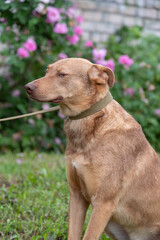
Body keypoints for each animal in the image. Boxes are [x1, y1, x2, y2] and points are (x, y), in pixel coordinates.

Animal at [24, 58, 160, 240]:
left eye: (62, 74)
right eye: (47, 71)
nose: (27, 87)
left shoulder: (103, 203)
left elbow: (88, 236)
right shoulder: (76, 195)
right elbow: (73, 234)